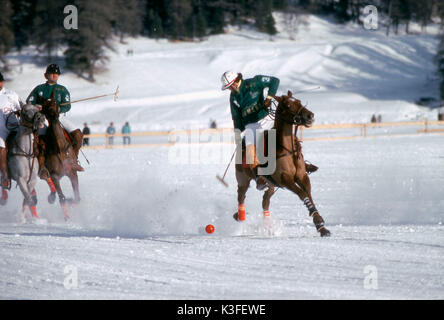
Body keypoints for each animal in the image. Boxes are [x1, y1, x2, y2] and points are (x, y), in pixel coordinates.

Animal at [37, 90, 81, 220]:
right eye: (45, 106)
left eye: (55, 102)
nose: (54, 115)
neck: (60, 148)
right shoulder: (55, 176)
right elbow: (62, 198)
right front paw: (67, 217)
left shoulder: (72, 173)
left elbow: (77, 198)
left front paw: (72, 201)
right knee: (45, 176)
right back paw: (51, 196)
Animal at [236, 90, 330, 238]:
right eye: (287, 105)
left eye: (299, 101)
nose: (310, 116)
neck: (288, 149)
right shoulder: (285, 179)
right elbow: (302, 194)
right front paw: (319, 222)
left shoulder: (302, 176)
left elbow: (308, 194)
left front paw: (321, 227)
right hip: (242, 179)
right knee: (241, 198)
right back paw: (241, 219)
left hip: (271, 185)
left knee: (265, 201)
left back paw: (268, 227)